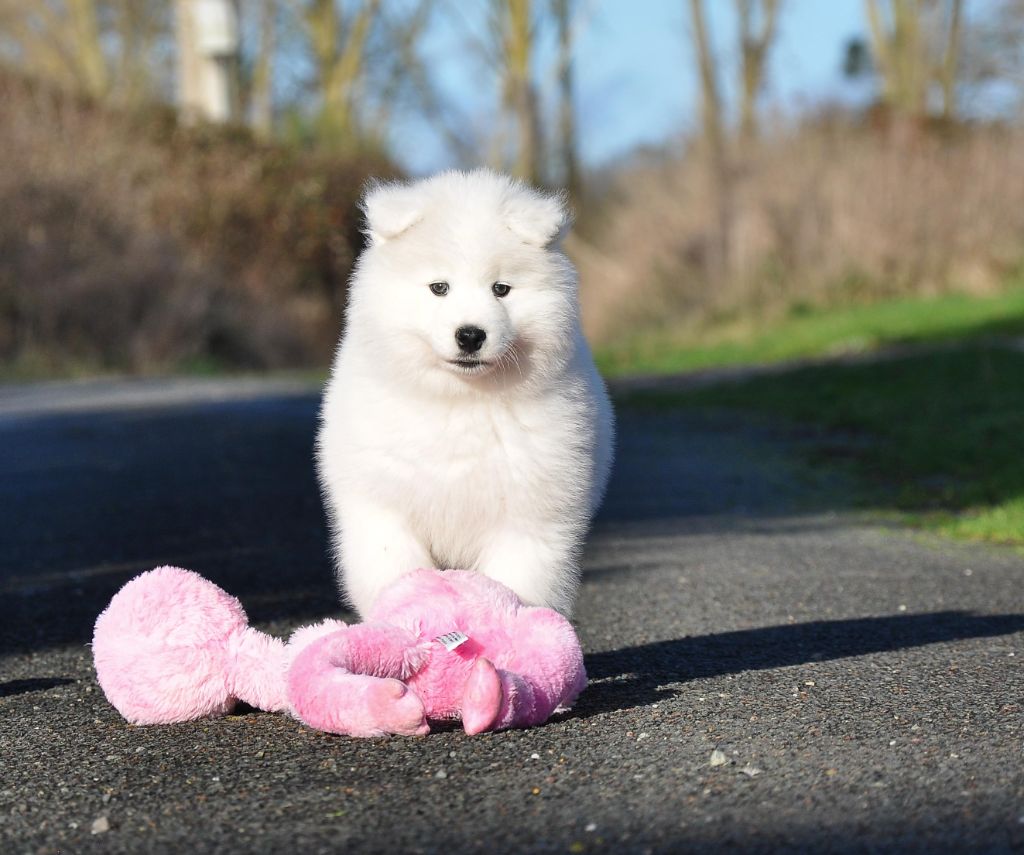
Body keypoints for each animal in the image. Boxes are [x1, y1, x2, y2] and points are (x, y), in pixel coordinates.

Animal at [315, 171, 610, 618]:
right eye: (439, 287)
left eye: (501, 289)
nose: (470, 335)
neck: (460, 401)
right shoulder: (384, 509)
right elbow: (398, 573)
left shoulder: (530, 518)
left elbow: (514, 585)